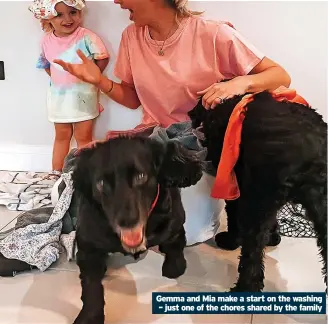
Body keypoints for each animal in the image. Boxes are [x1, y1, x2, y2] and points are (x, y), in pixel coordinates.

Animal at [72, 137, 202, 324]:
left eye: (140, 176)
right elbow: (91, 286)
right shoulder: (87, 248)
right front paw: (90, 316)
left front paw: (175, 266)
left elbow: (175, 246)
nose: (127, 220)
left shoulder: (174, 224)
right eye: (101, 184)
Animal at [188, 90, 326, 292]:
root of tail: (312, 159)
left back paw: (244, 288)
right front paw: (273, 237)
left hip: (256, 203)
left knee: (252, 253)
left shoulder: (237, 182)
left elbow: (233, 214)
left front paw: (231, 241)